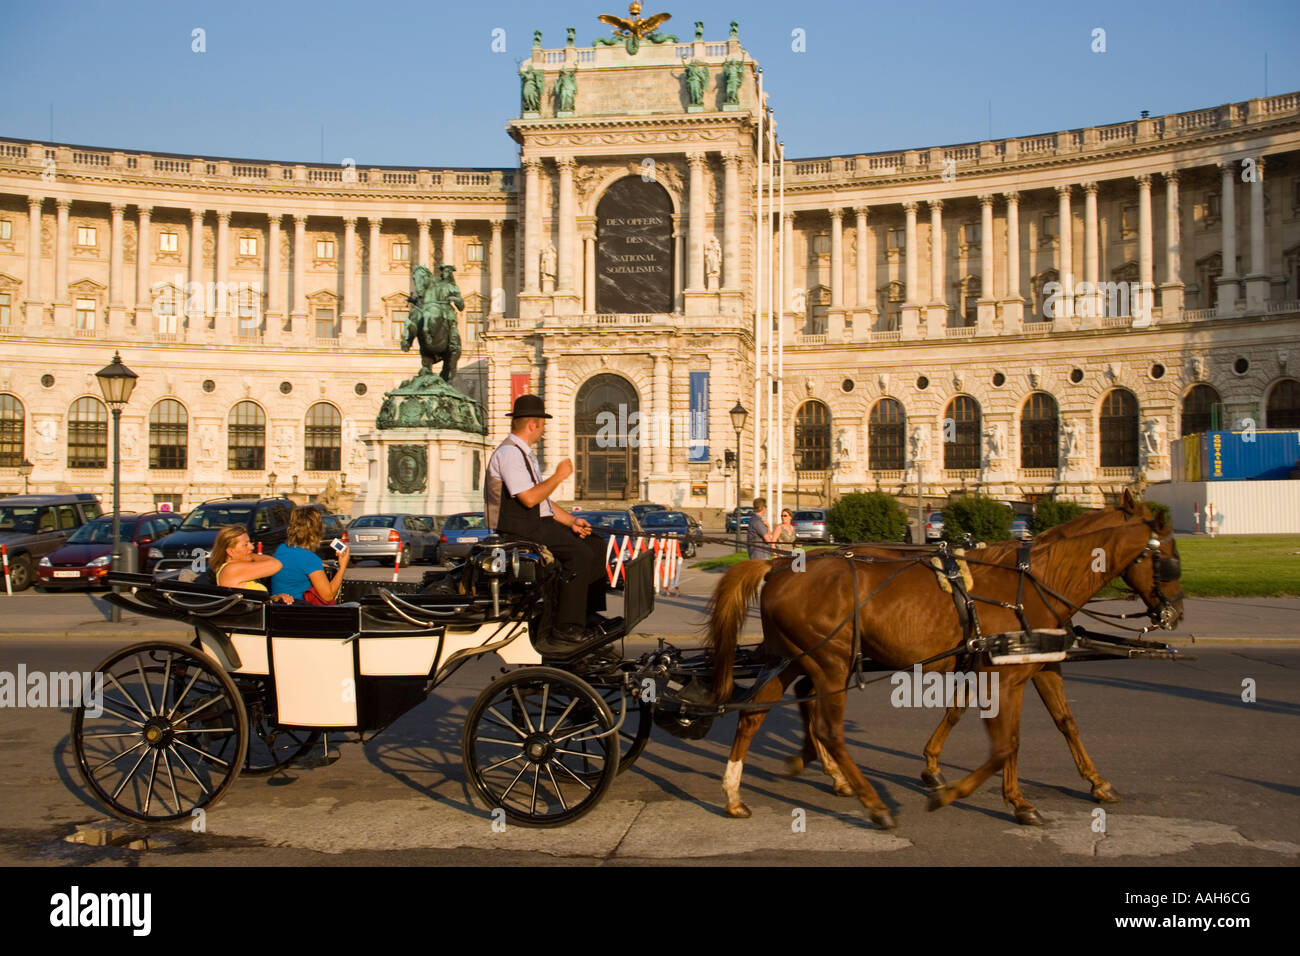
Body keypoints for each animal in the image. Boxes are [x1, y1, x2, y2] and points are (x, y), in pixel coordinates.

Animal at [707, 494, 1185, 832]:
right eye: (1168, 559)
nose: (1175, 614)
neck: (1034, 582)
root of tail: (779, 566)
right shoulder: (1000, 675)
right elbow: (1006, 743)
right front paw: (960, 791)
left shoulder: (1036, 665)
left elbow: (1063, 723)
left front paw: (1091, 783)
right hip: (829, 662)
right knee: (826, 726)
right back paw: (872, 802)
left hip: (792, 657)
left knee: (755, 714)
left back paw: (737, 793)